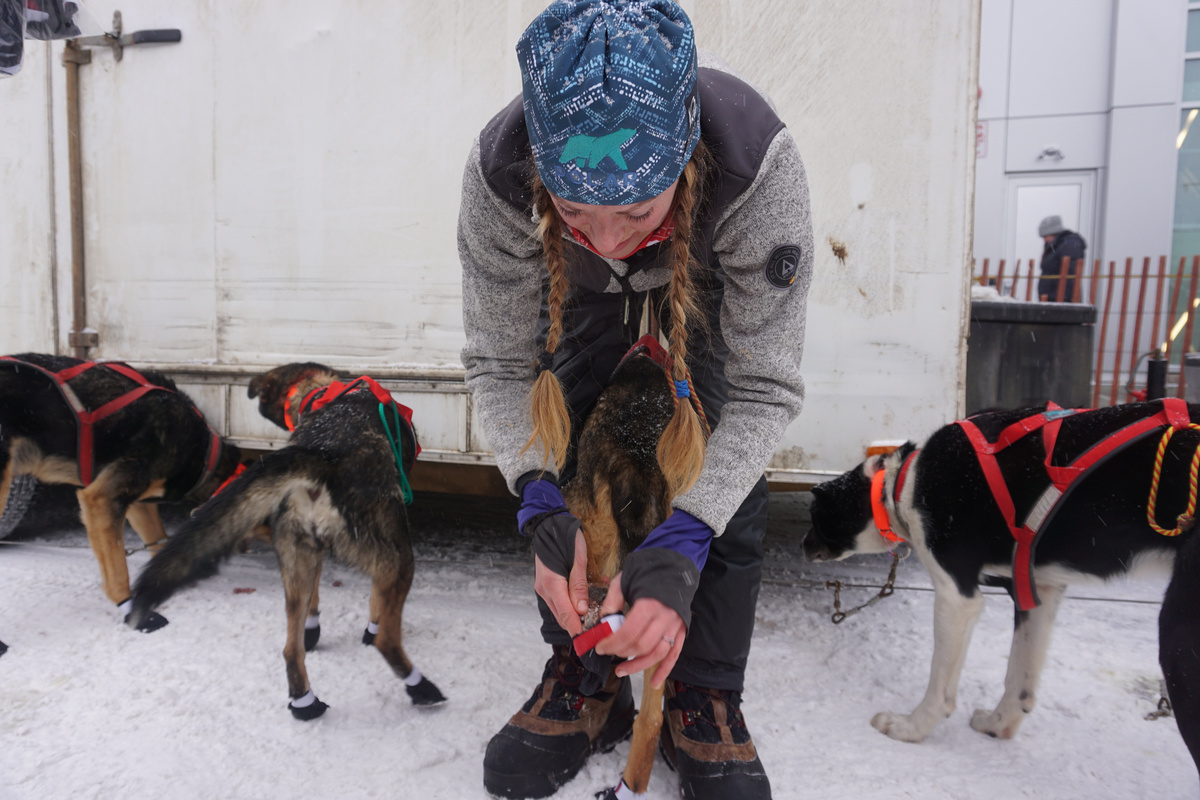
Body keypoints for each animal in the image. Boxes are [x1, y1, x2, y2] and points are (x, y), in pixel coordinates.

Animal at [0, 353, 242, 629]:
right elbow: (118, 569)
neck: (206, 458)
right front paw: (132, 609)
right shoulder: (102, 499)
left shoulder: (136, 502)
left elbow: (158, 539)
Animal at [128, 362, 446, 719]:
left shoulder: (310, 556)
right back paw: (420, 687)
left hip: (298, 556)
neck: (319, 394)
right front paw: (371, 626)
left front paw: (314, 629)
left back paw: (304, 701)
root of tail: (323, 454)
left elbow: (315, 603)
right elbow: (375, 605)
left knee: (290, 648)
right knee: (387, 641)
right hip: (398, 558)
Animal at [803, 399, 1200, 779]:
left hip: (1178, 639)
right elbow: (1019, 680)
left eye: (814, 515)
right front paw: (999, 724)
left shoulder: (956, 597)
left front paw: (909, 728)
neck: (905, 481)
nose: (804, 545)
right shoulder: (1039, 592)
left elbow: (940, 689)